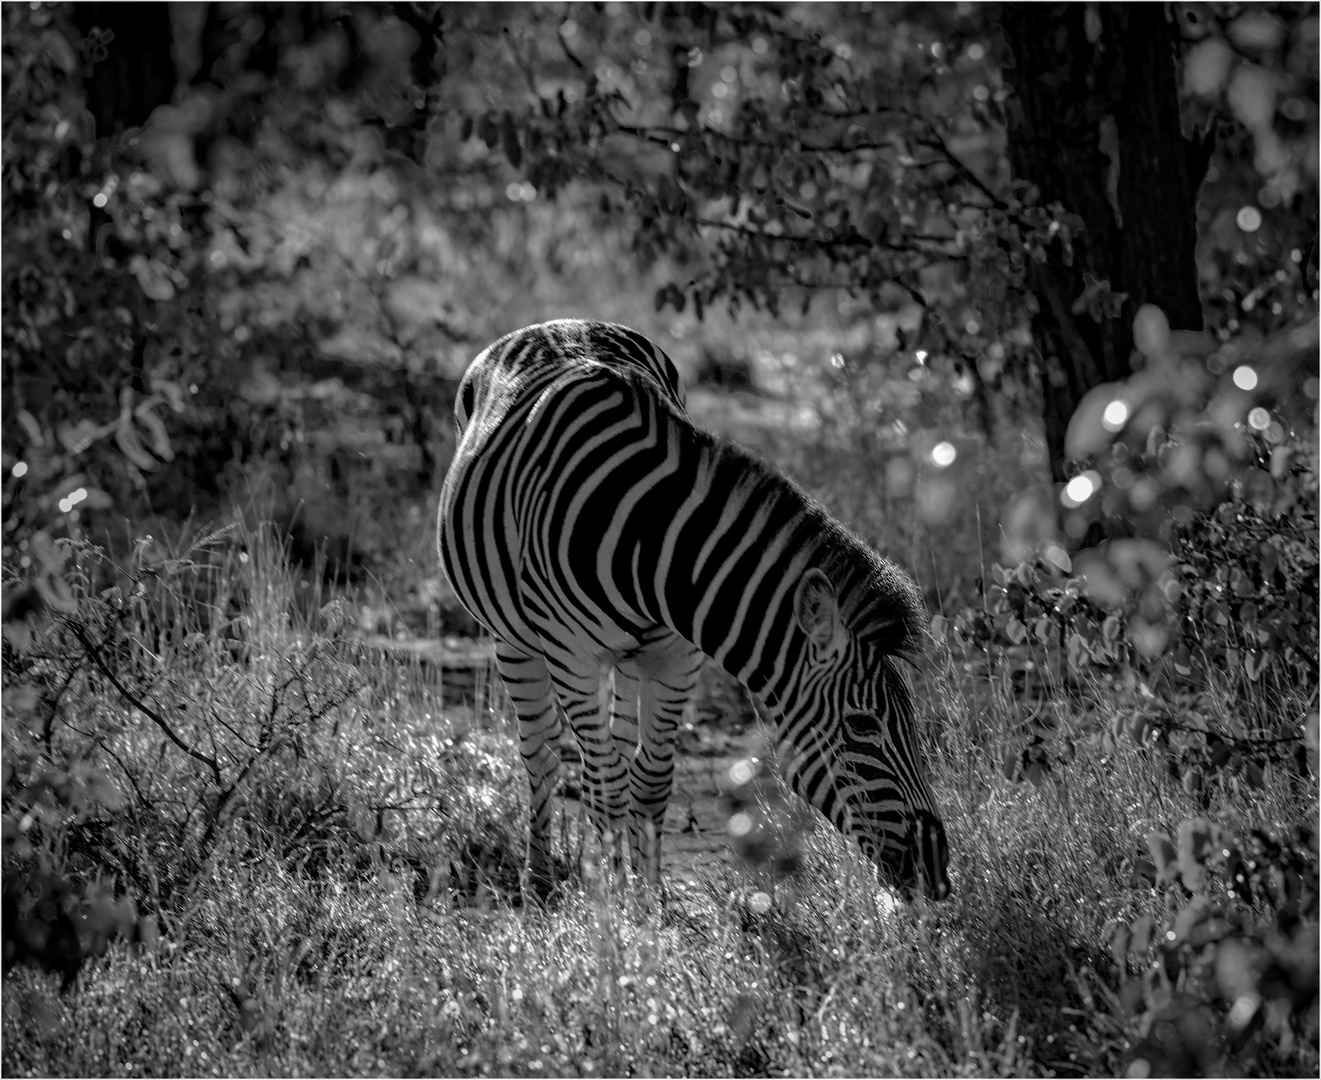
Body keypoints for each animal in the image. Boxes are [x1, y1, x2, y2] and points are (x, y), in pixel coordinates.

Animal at [441, 318, 951, 903]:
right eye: (863, 726)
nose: (937, 870)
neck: (647, 541)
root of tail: (556, 324)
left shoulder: (677, 656)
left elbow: (650, 780)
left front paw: (645, 898)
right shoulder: (572, 658)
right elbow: (606, 785)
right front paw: (613, 910)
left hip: (630, 655)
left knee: (614, 750)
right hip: (513, 639)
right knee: (544, 753)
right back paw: (542, 879)